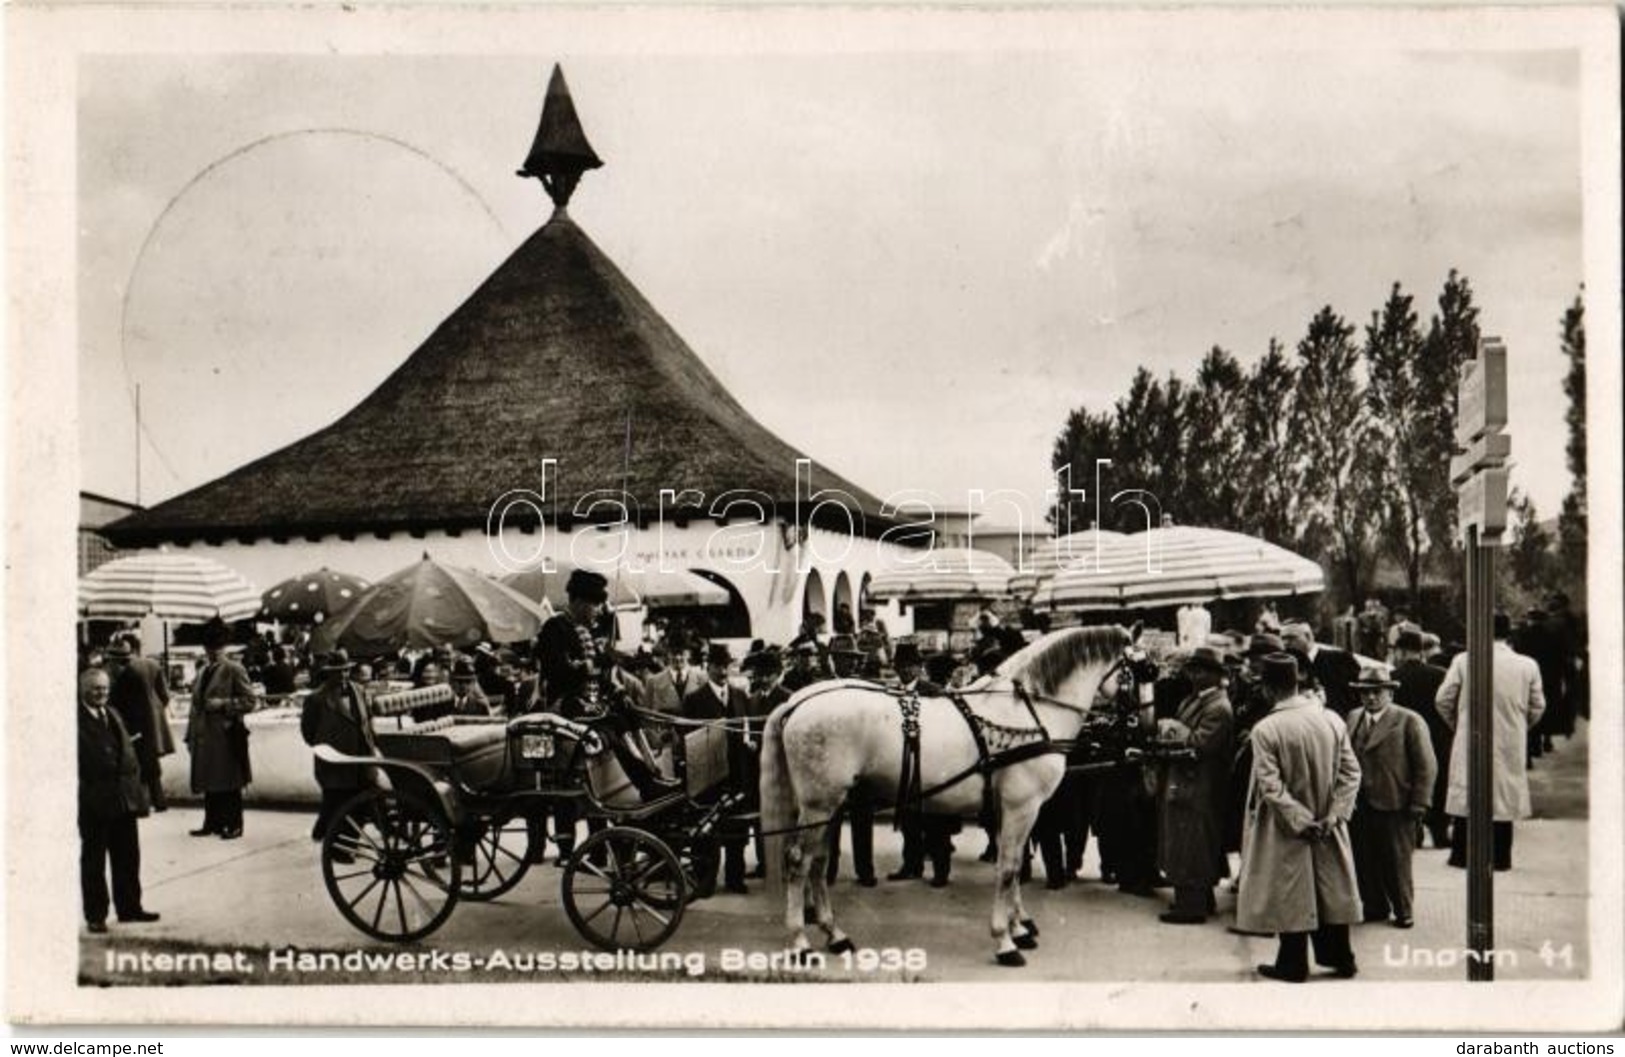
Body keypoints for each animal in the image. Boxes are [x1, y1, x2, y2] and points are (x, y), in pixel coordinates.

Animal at [757, 624, 1131, 962]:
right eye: (1137, 669)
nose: (1132, 719)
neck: (1026, 711)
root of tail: (797, 701)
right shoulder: (1021, 807)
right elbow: (1009, 868)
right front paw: (1005, 939)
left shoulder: (1009, 809)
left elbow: (1011, 864)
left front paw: (1018, 927)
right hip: (819, 804)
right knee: (799, 862)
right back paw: (800, 941)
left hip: (829, 805)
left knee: (818, 861)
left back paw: (834, 934)